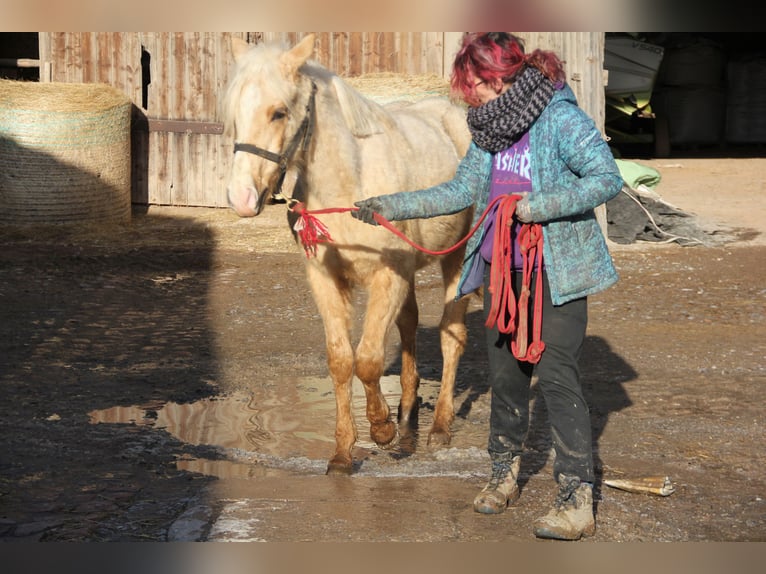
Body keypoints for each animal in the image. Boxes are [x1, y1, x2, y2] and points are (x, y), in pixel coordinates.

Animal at [219, 36, 476, 476]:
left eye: (278, 112)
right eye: (235, 113)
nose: (242, 198)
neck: (349, 187)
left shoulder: (387, 276)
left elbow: (368, 359)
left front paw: (381, 428)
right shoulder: (326, 278)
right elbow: (341, 360)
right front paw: (344, 451)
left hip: (456, 256)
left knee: (451, 335)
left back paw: (439, 426)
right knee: (409, 325)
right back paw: (408, 412)